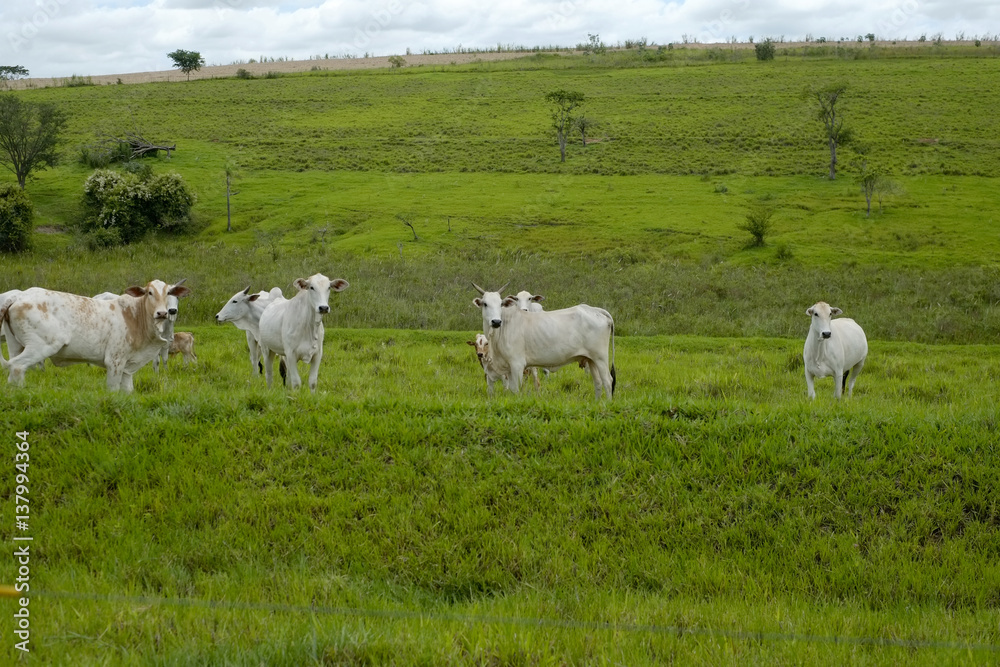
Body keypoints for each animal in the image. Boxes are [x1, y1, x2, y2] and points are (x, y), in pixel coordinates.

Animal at [0, 280, 191, 391]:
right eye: (149, 293)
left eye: (169, 293)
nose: (163, 313)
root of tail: (19, 296)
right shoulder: (114, 361)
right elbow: (113, 390)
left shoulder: (128, 367)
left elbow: (127, 391)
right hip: (41, 346)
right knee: (17, 367)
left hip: (15, 345)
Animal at [472, 283, 616, 399]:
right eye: (485, 304)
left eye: (501, 304)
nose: (496, 322)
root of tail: (595, 309)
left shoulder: (517, 364)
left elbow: (515, 390)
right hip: (591, 360)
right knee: (598, 382)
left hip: (600, 358)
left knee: (608, 381)